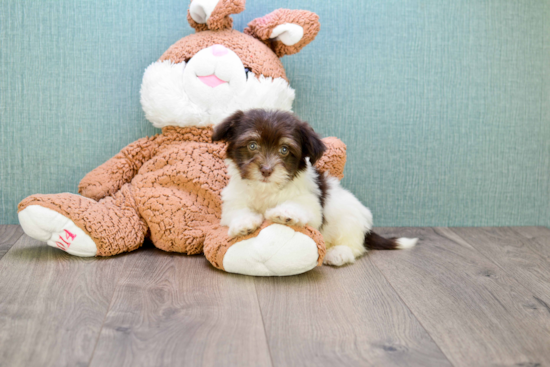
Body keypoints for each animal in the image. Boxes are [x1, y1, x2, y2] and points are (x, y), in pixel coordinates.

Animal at [212, 109, 418, 268]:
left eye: (284, 150)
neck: (266, 189)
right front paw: (244, 224)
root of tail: (366, 226)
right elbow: (237, 211)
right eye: (252, 145)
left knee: (355, 245)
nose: (266, 170)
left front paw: (285, 213)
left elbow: (302, 207)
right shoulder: (233, 200)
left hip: (348, 218)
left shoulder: (311, 202)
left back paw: (339, 253)